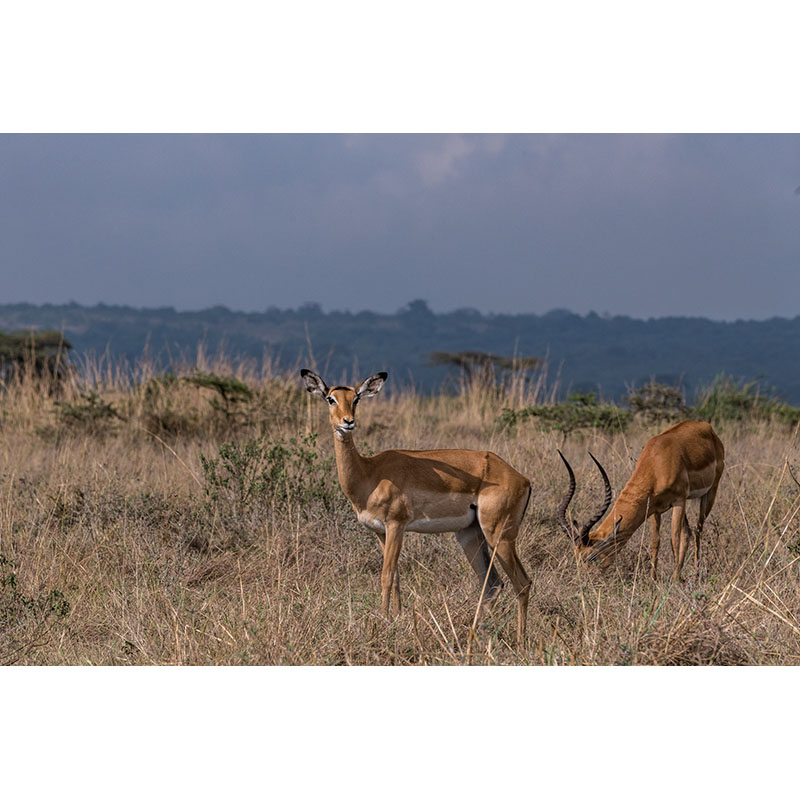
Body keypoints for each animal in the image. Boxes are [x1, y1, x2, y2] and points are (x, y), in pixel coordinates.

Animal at [298, 372, 532, 640]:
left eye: (356, 399)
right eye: (330, 399)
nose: (348, 422)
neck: (370, 473)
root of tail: (521, 478)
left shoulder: (396, 526)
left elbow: (386, 576)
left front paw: (383, 621)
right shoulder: (381, 532)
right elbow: (396, 576)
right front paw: (397, 619)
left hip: (499, 536)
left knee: (522, 583)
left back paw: (520, 640)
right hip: (469, 535)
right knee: (492, 584)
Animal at [556, 418, 724, 580]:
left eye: (591, 557)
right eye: (576, 557)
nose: (584, 580)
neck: (657, 462)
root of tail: (707, 428)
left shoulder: (679, 501)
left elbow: (674, 539)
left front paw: (674, 580)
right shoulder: (654, 508)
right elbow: (656, 541)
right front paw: (653, 580)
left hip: (710, 493)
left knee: (697, 531)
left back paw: (695, 576)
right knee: (688, 532)